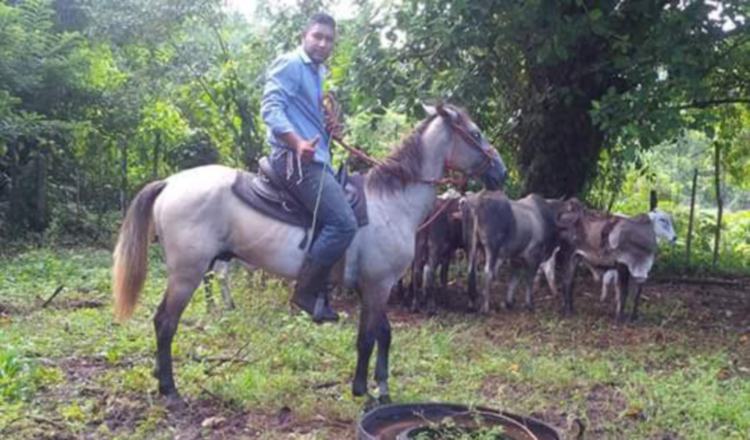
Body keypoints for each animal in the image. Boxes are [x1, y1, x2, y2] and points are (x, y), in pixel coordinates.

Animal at [111, 103, 508, 406]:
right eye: (476, 133)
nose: (501, 171)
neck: (392, 202)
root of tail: (171, 182)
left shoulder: (374, 286)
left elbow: (382, 334)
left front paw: (379, 388)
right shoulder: (378, 285)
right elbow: (368, 337)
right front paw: (364, 391)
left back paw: (159, 376)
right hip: (187, 273)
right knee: (165, 322)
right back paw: (170, 389)